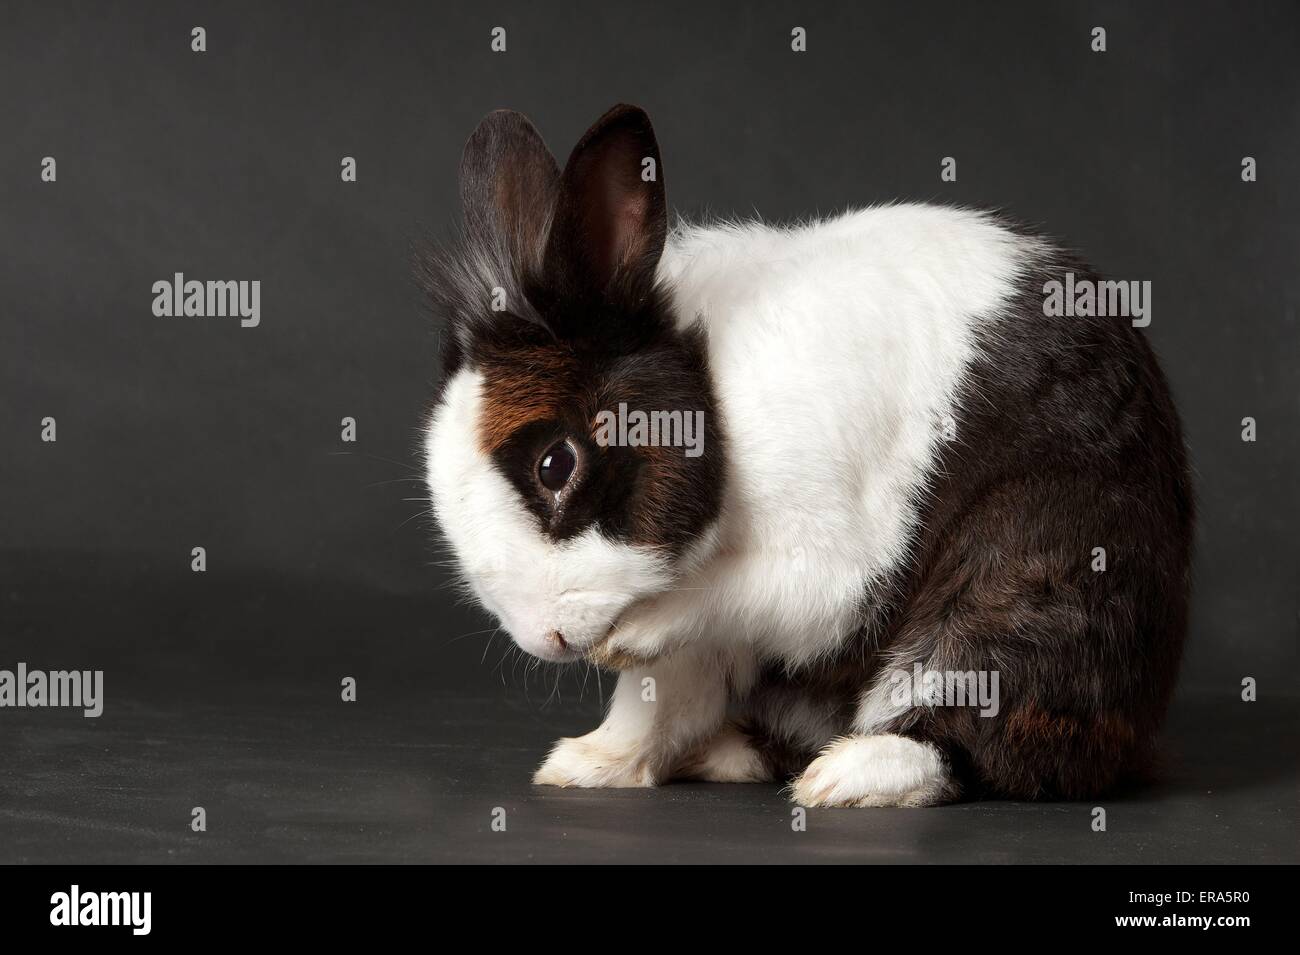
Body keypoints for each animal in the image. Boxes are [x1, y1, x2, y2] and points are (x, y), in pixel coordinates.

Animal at [421, 103, 1194, 806]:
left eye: (556, 464)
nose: (544, 638)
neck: (714, 399)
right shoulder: (705, 644)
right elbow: (660, 696)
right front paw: (589, 764)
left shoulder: (826, 564)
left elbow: (735, 600)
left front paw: (632, 640)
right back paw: (725, 754)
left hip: (1030, 595)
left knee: (976, 739)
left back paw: (844, 777)